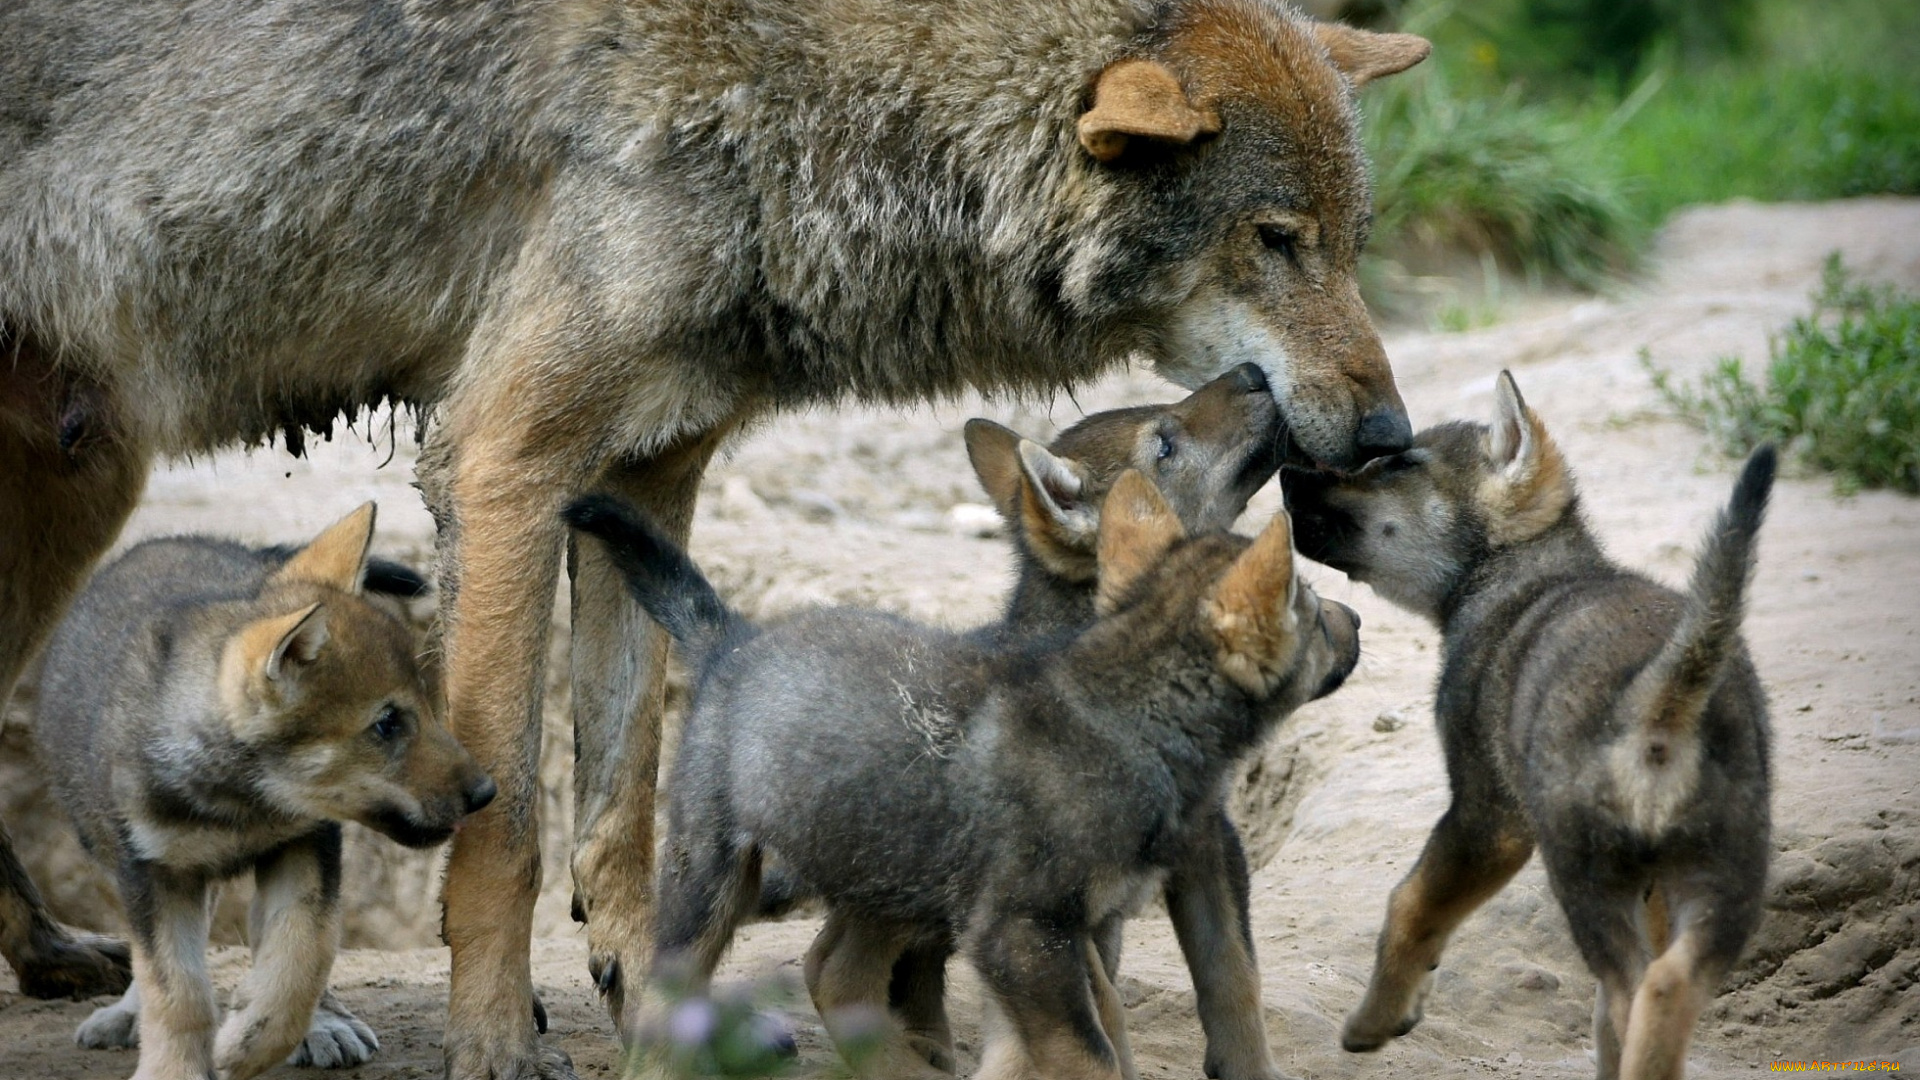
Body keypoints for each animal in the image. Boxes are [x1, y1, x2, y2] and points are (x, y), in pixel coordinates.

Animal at [0, 0, 1428, 1068]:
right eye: (1274, 239)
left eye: (1353, 242)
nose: (1386, 431)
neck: (793, 102)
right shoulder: (504, 465)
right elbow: (507, 828)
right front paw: (496, 1043)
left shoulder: (642, 483)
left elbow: (623, 812)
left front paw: (653, 1008)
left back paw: (54, 959)